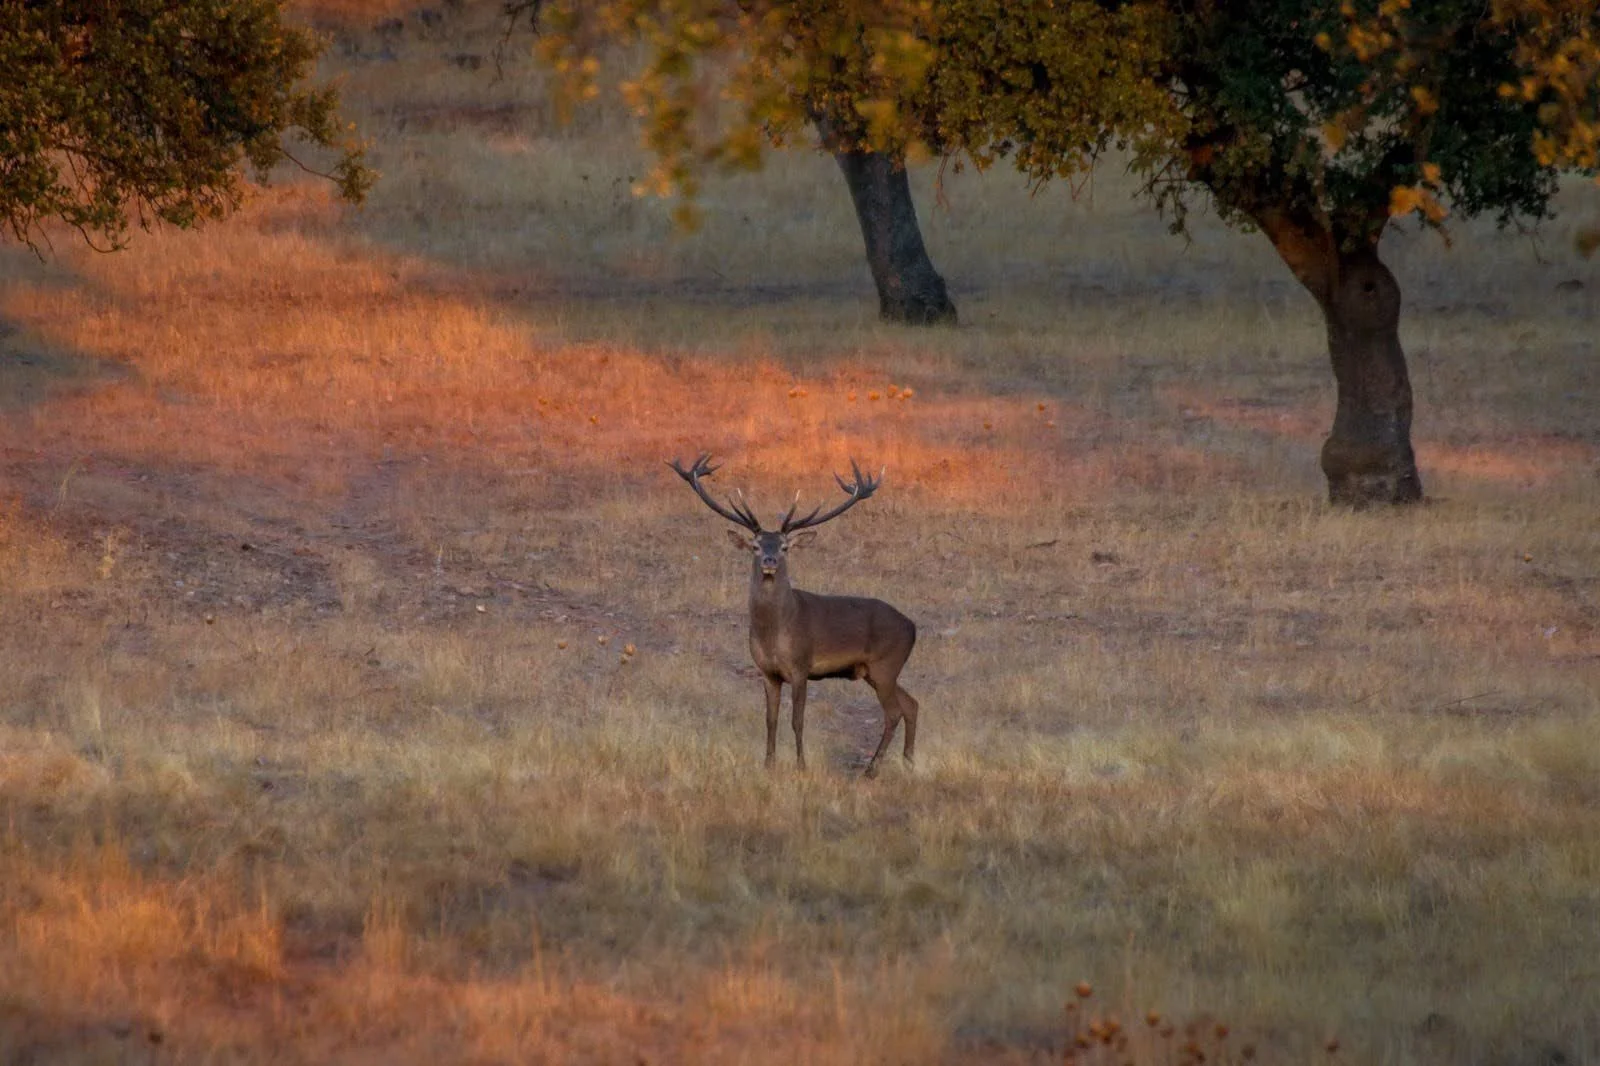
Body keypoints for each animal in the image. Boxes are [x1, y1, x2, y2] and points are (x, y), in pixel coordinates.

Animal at [668, 454, 919, 778]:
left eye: (785, 546)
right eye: (756, 545)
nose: (769, 560)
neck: (775, 633)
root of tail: (913, 627)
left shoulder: (801, 666)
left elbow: (797, 720)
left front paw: (801, 765)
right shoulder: (767, 672)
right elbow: (770, 719)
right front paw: (768, 764)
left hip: (885, 664)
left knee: (894, 712)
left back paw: (871, 769)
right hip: (876, 671)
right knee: (911, 704)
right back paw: (908, 762)